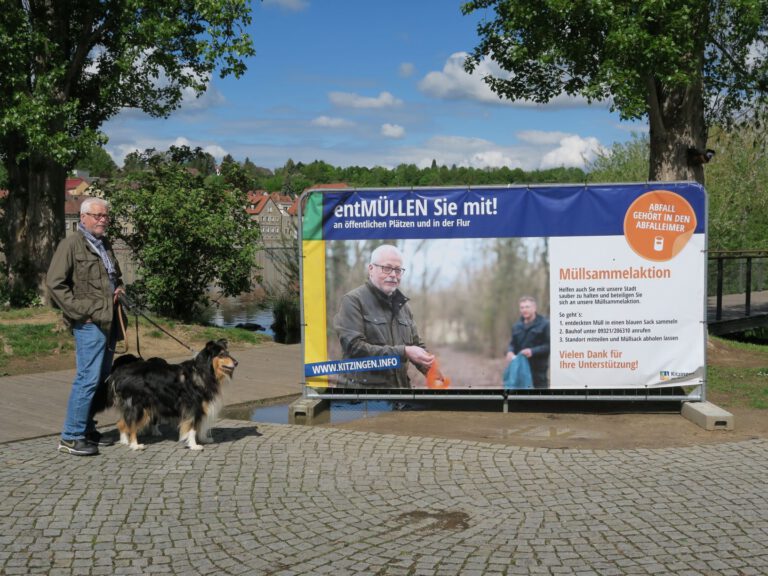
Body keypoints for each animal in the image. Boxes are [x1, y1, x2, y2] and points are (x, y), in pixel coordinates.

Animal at [106, 342, 237, 450]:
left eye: (228, 353)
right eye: (221, 354)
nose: (236, 363)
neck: (203, 371)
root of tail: (120, 373)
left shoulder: (201, 407)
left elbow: (200, 425)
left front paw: (204, 439)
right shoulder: (192, 407)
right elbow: (192, 427)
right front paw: (194, 445)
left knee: (122, 422)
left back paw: (124, 441)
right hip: (139, 405)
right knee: (131, 423)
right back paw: (135, 445)